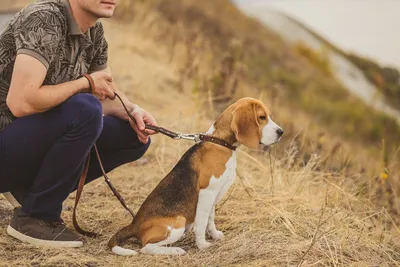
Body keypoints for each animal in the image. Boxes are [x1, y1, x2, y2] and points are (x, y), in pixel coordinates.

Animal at [108, 97, 282, 256]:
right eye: (261, 117)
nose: (281, 132)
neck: (220, 142)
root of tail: (134, 224)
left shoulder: (214, 195)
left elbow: (211, 218)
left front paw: (214, 235)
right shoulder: (207, 192)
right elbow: (202, 221)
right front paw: (202, 244)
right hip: (178, 222)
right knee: (146, 247)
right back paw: (175, 250)